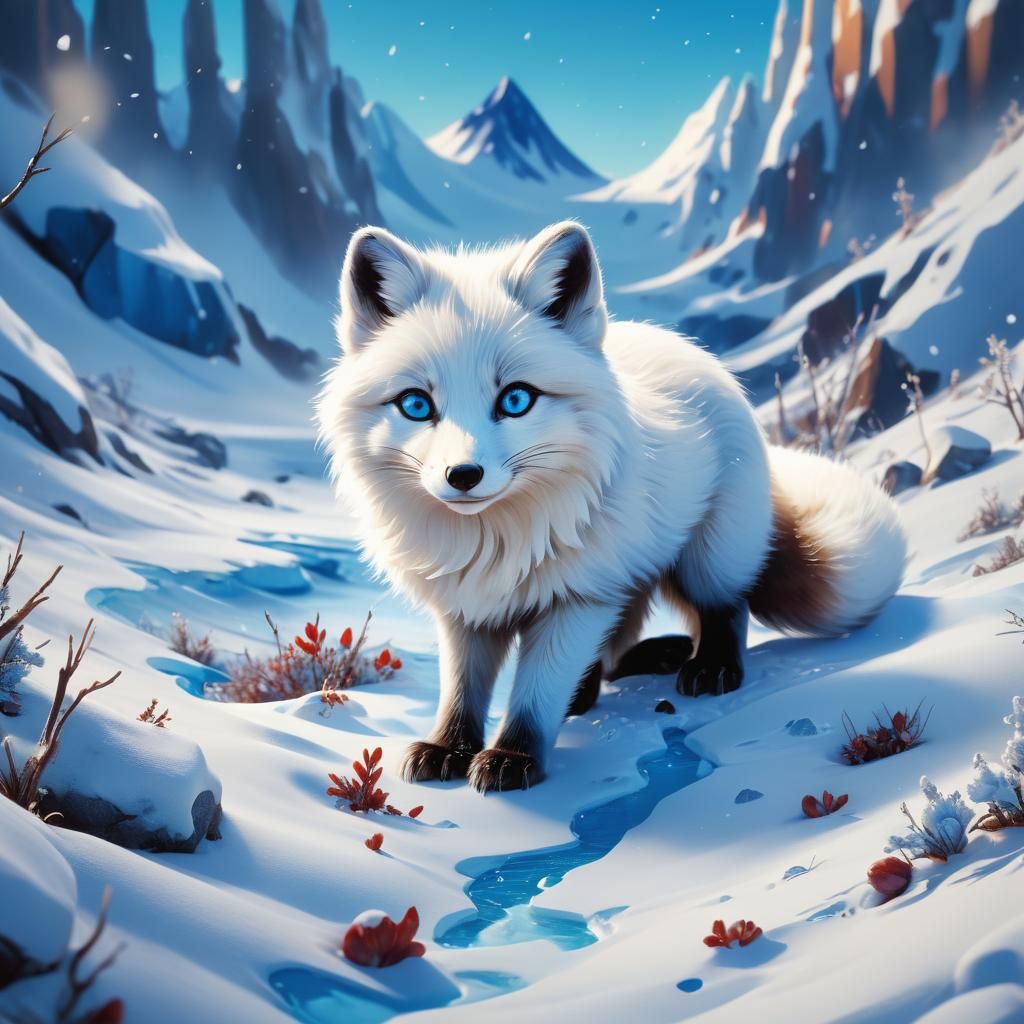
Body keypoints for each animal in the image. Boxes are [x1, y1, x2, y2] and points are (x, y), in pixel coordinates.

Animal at [317, 220, 907, 793]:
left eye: (516, 399)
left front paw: (513, 756)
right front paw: (449, 748)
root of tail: (682, 345)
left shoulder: (580, 597)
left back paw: (709, 668)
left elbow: (535, 693)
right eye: (416, 405)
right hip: (632, 571)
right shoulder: (465, 609)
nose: (463, 476)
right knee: (620, 641)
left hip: (707, 558)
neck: (495, 542)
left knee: (725, 609)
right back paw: (609, 682)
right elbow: (463, 690)